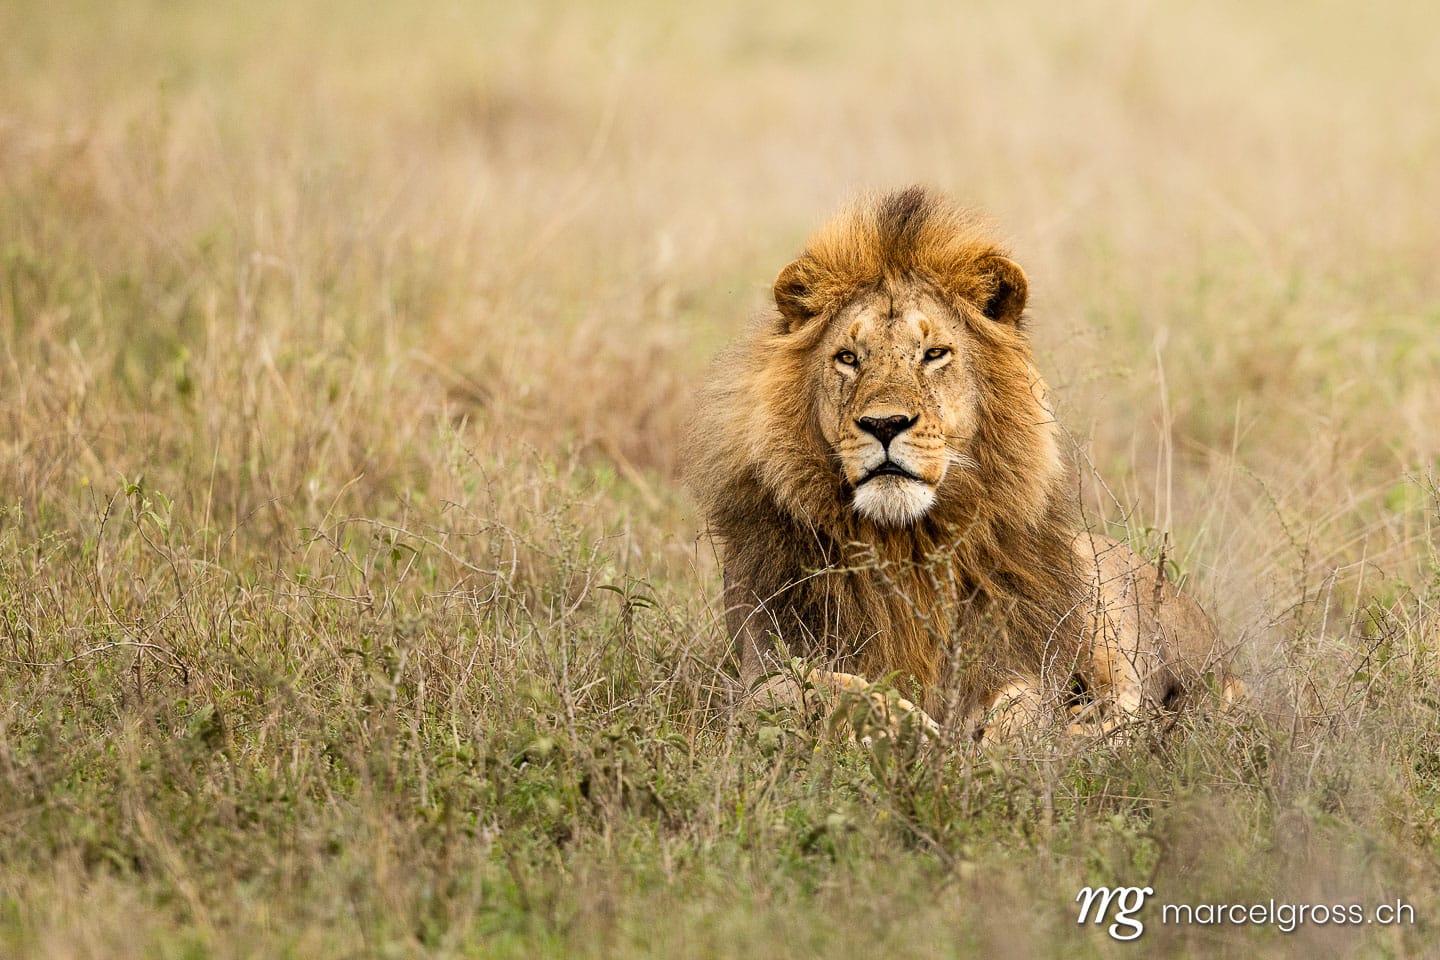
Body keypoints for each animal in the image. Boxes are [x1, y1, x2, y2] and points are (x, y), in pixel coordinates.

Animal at [686, 187, 1239, 743]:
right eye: (847, 357)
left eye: (934, 354)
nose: (884, 424)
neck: (906, 544)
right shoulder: (759, 670)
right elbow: (837, 687)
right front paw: (920, 731)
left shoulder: (1016, 658)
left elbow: (1025, 709)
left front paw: (997, 742)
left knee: (1140, 704)